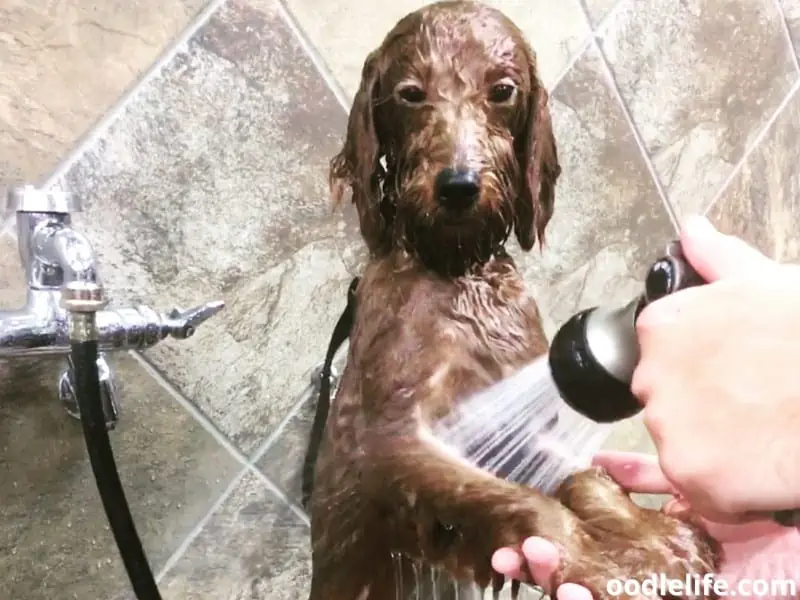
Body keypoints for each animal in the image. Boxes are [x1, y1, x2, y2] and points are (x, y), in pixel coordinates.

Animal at [304, 2, 720, 596]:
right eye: (410, 94)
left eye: (501, 91)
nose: (458, 185)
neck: (457, 271)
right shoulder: (393, 439)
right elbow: (529, 506)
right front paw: (615, 566)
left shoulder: (521, 406)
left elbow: (587, 481)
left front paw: (655, 539)